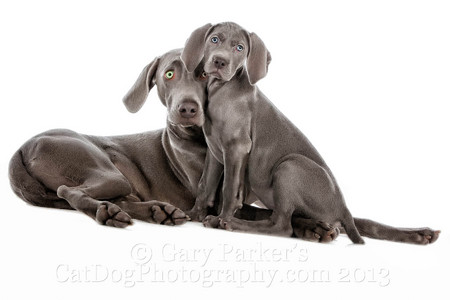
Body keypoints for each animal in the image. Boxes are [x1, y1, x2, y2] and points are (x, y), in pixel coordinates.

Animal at [180, 22, 440, 245]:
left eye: (240, 47)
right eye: (214, 39)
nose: (219, 61)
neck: (220, 90)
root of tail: (343, 209)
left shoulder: (237, 147)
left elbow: (229, 188)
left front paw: (220, 219)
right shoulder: (215, 151)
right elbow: (205, 185)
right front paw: (194, 213)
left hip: (290, 166)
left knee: (282, 225)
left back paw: (235, 223)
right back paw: (419, 233)